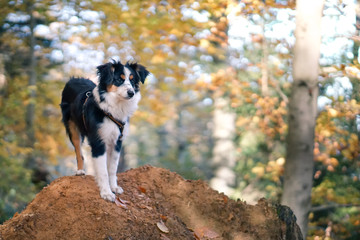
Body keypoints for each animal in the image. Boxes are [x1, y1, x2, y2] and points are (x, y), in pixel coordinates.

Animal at [60, 60, 149, 201]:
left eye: (132, 80)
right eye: (119, 79)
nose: (131, 93)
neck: (113, 107)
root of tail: (74, 79)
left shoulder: (117, 141)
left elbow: (112, 168)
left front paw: (114, 187)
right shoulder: (98, 141)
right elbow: (103, 171)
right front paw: (106, 193)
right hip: (72, 129)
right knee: (79, 152)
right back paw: (80, 171)